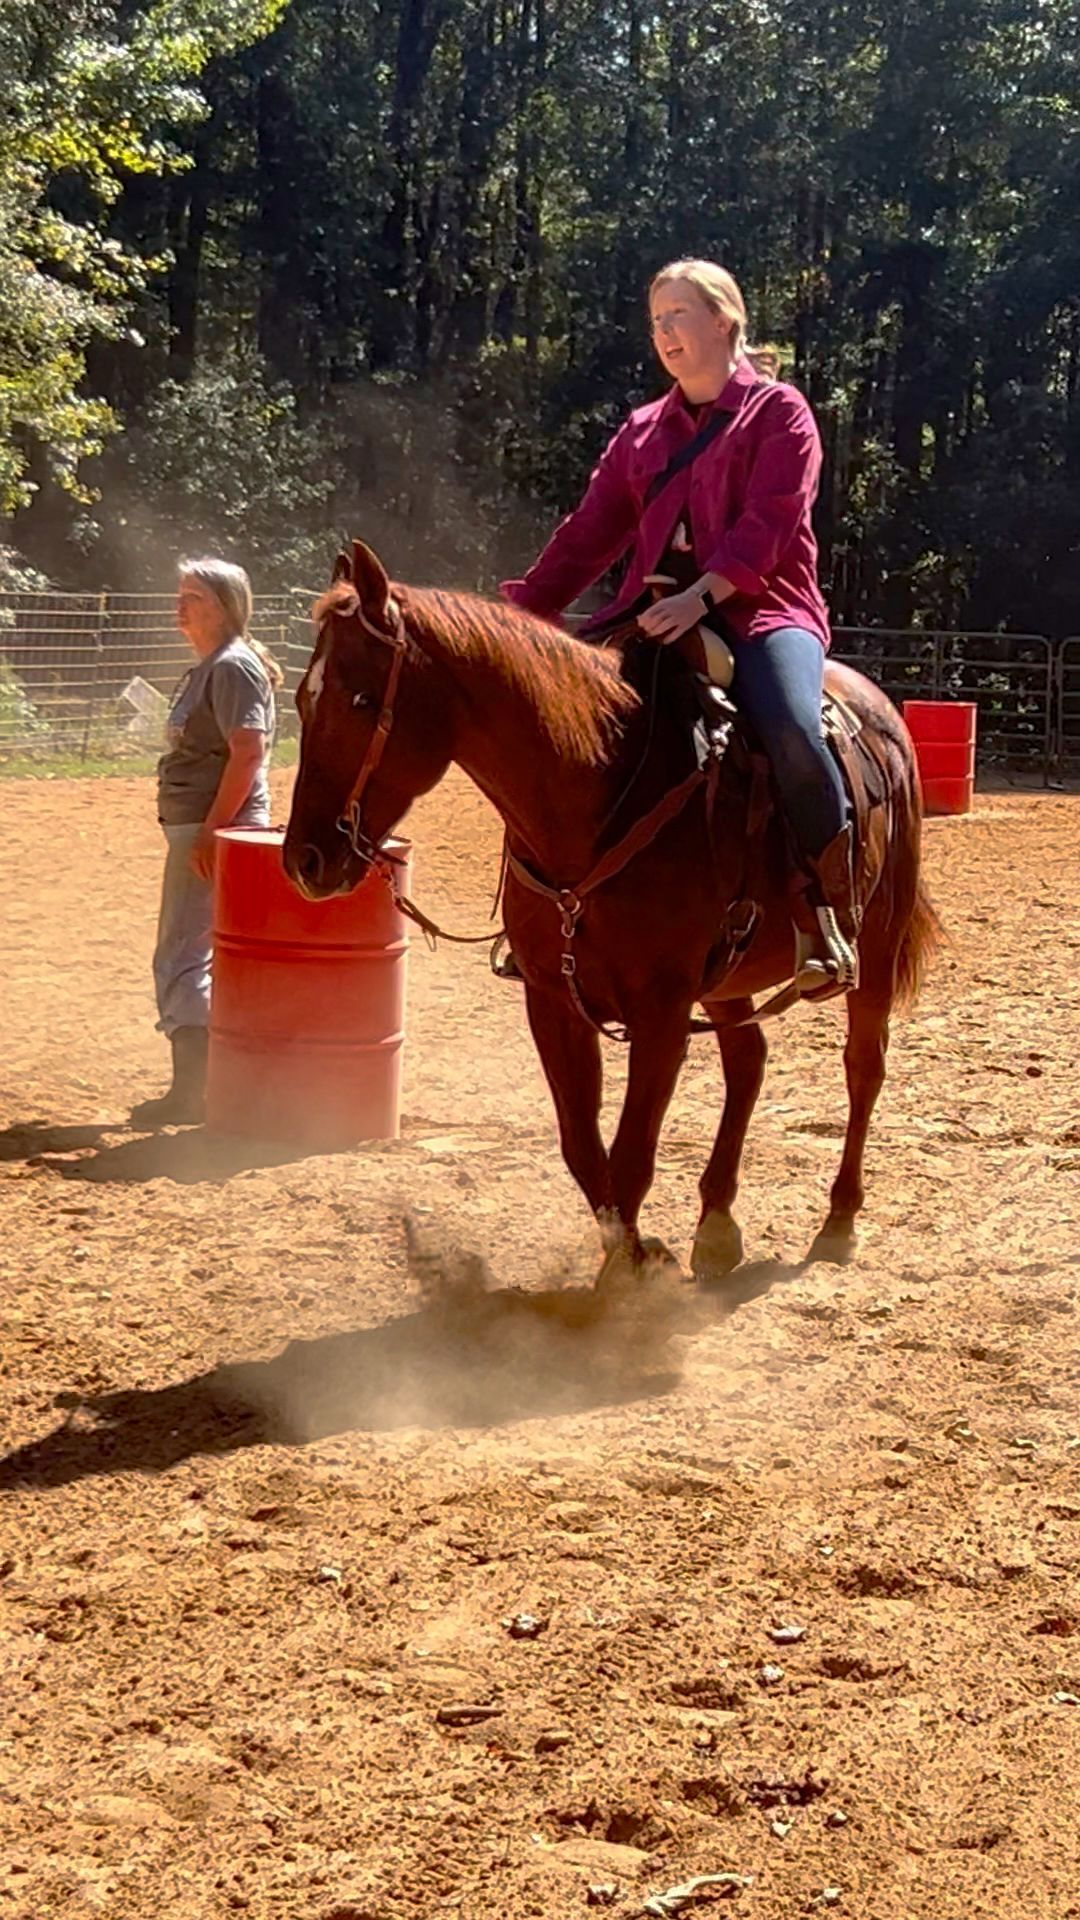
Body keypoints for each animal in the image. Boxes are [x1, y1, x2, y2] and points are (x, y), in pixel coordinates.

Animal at [283, 539, 939, 1284]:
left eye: (363, 699)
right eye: (303, 698)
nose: (305, 859)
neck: (603, 793)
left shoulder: (660, 1014)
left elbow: (630, 1156)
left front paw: (625, 1280)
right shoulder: (554, 1001)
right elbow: (582, 1146)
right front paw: (637, 1252)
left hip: (875, 946)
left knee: (864, 1066)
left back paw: (838, 1220)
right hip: (727, 977)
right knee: (748, 1060)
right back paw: (717, 1222)